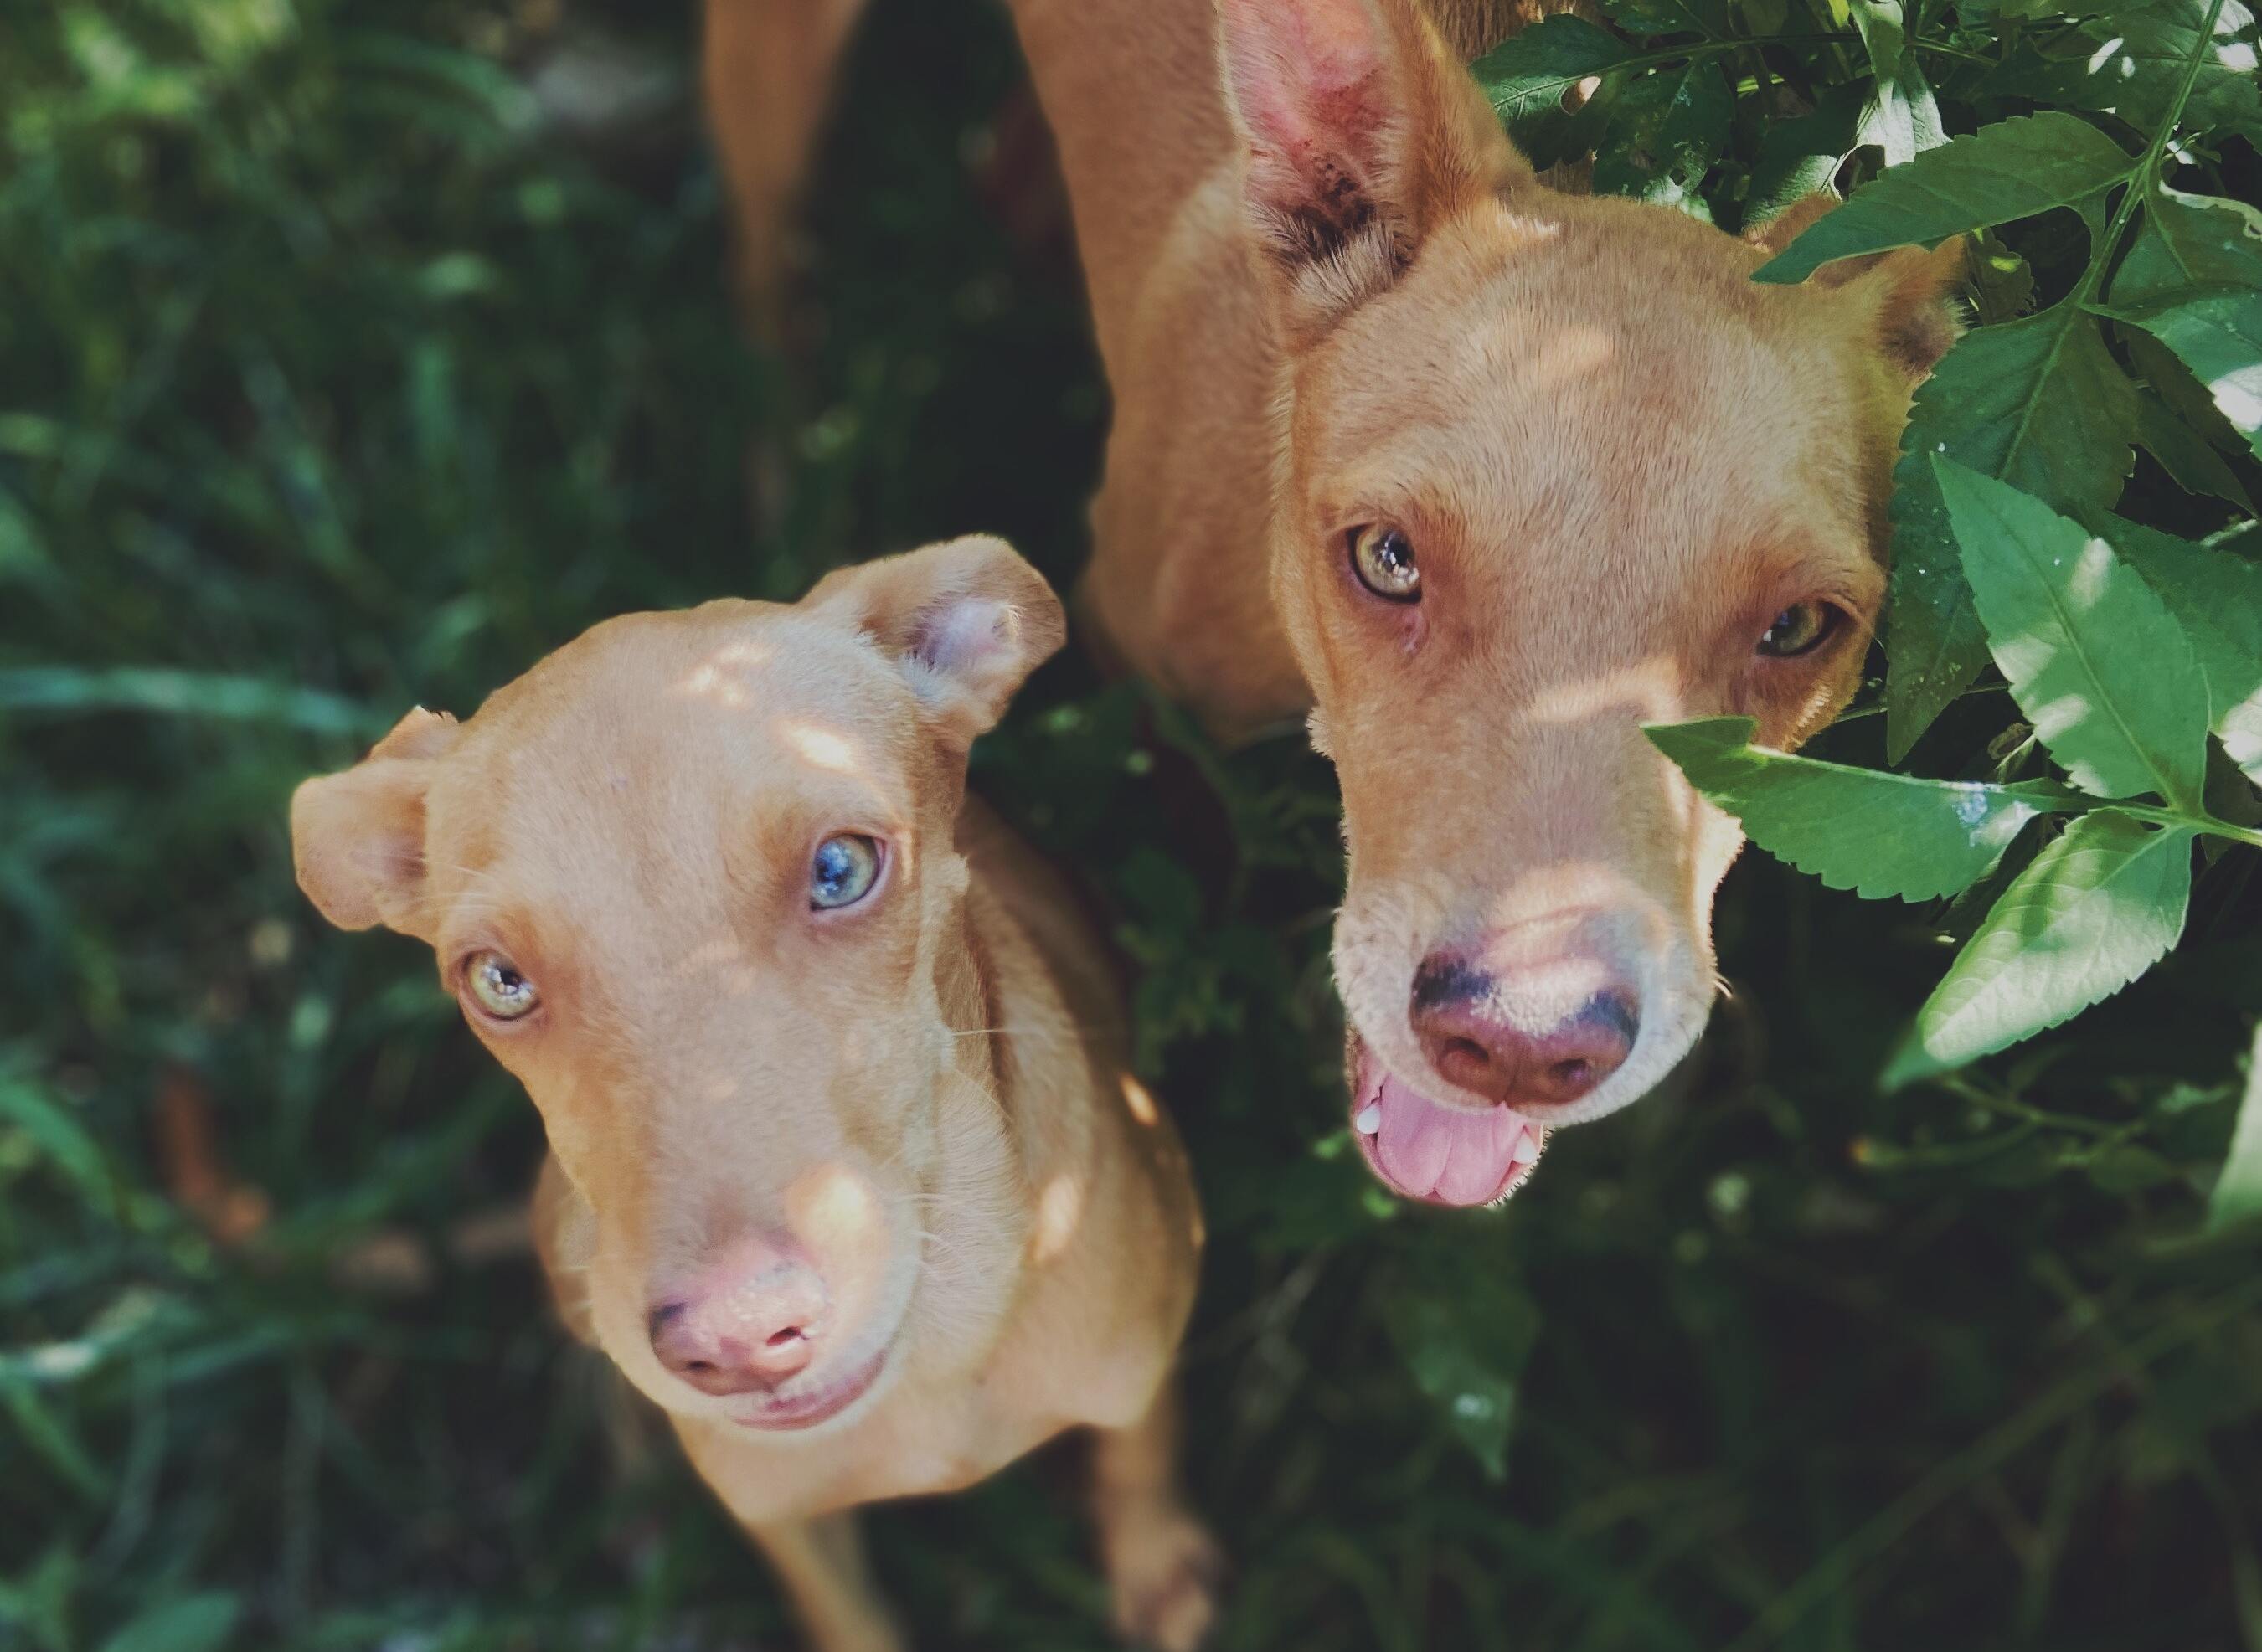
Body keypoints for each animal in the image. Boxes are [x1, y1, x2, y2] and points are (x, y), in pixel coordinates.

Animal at [296, 532, 1221, 1647]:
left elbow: (1140, 1461)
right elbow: (846, 1614)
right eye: (498, 979)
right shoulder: (784, 1520)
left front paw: (1158, 1567)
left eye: (839, 868)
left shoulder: (1138, 1368)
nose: (738, 1338)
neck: (929, 1366)